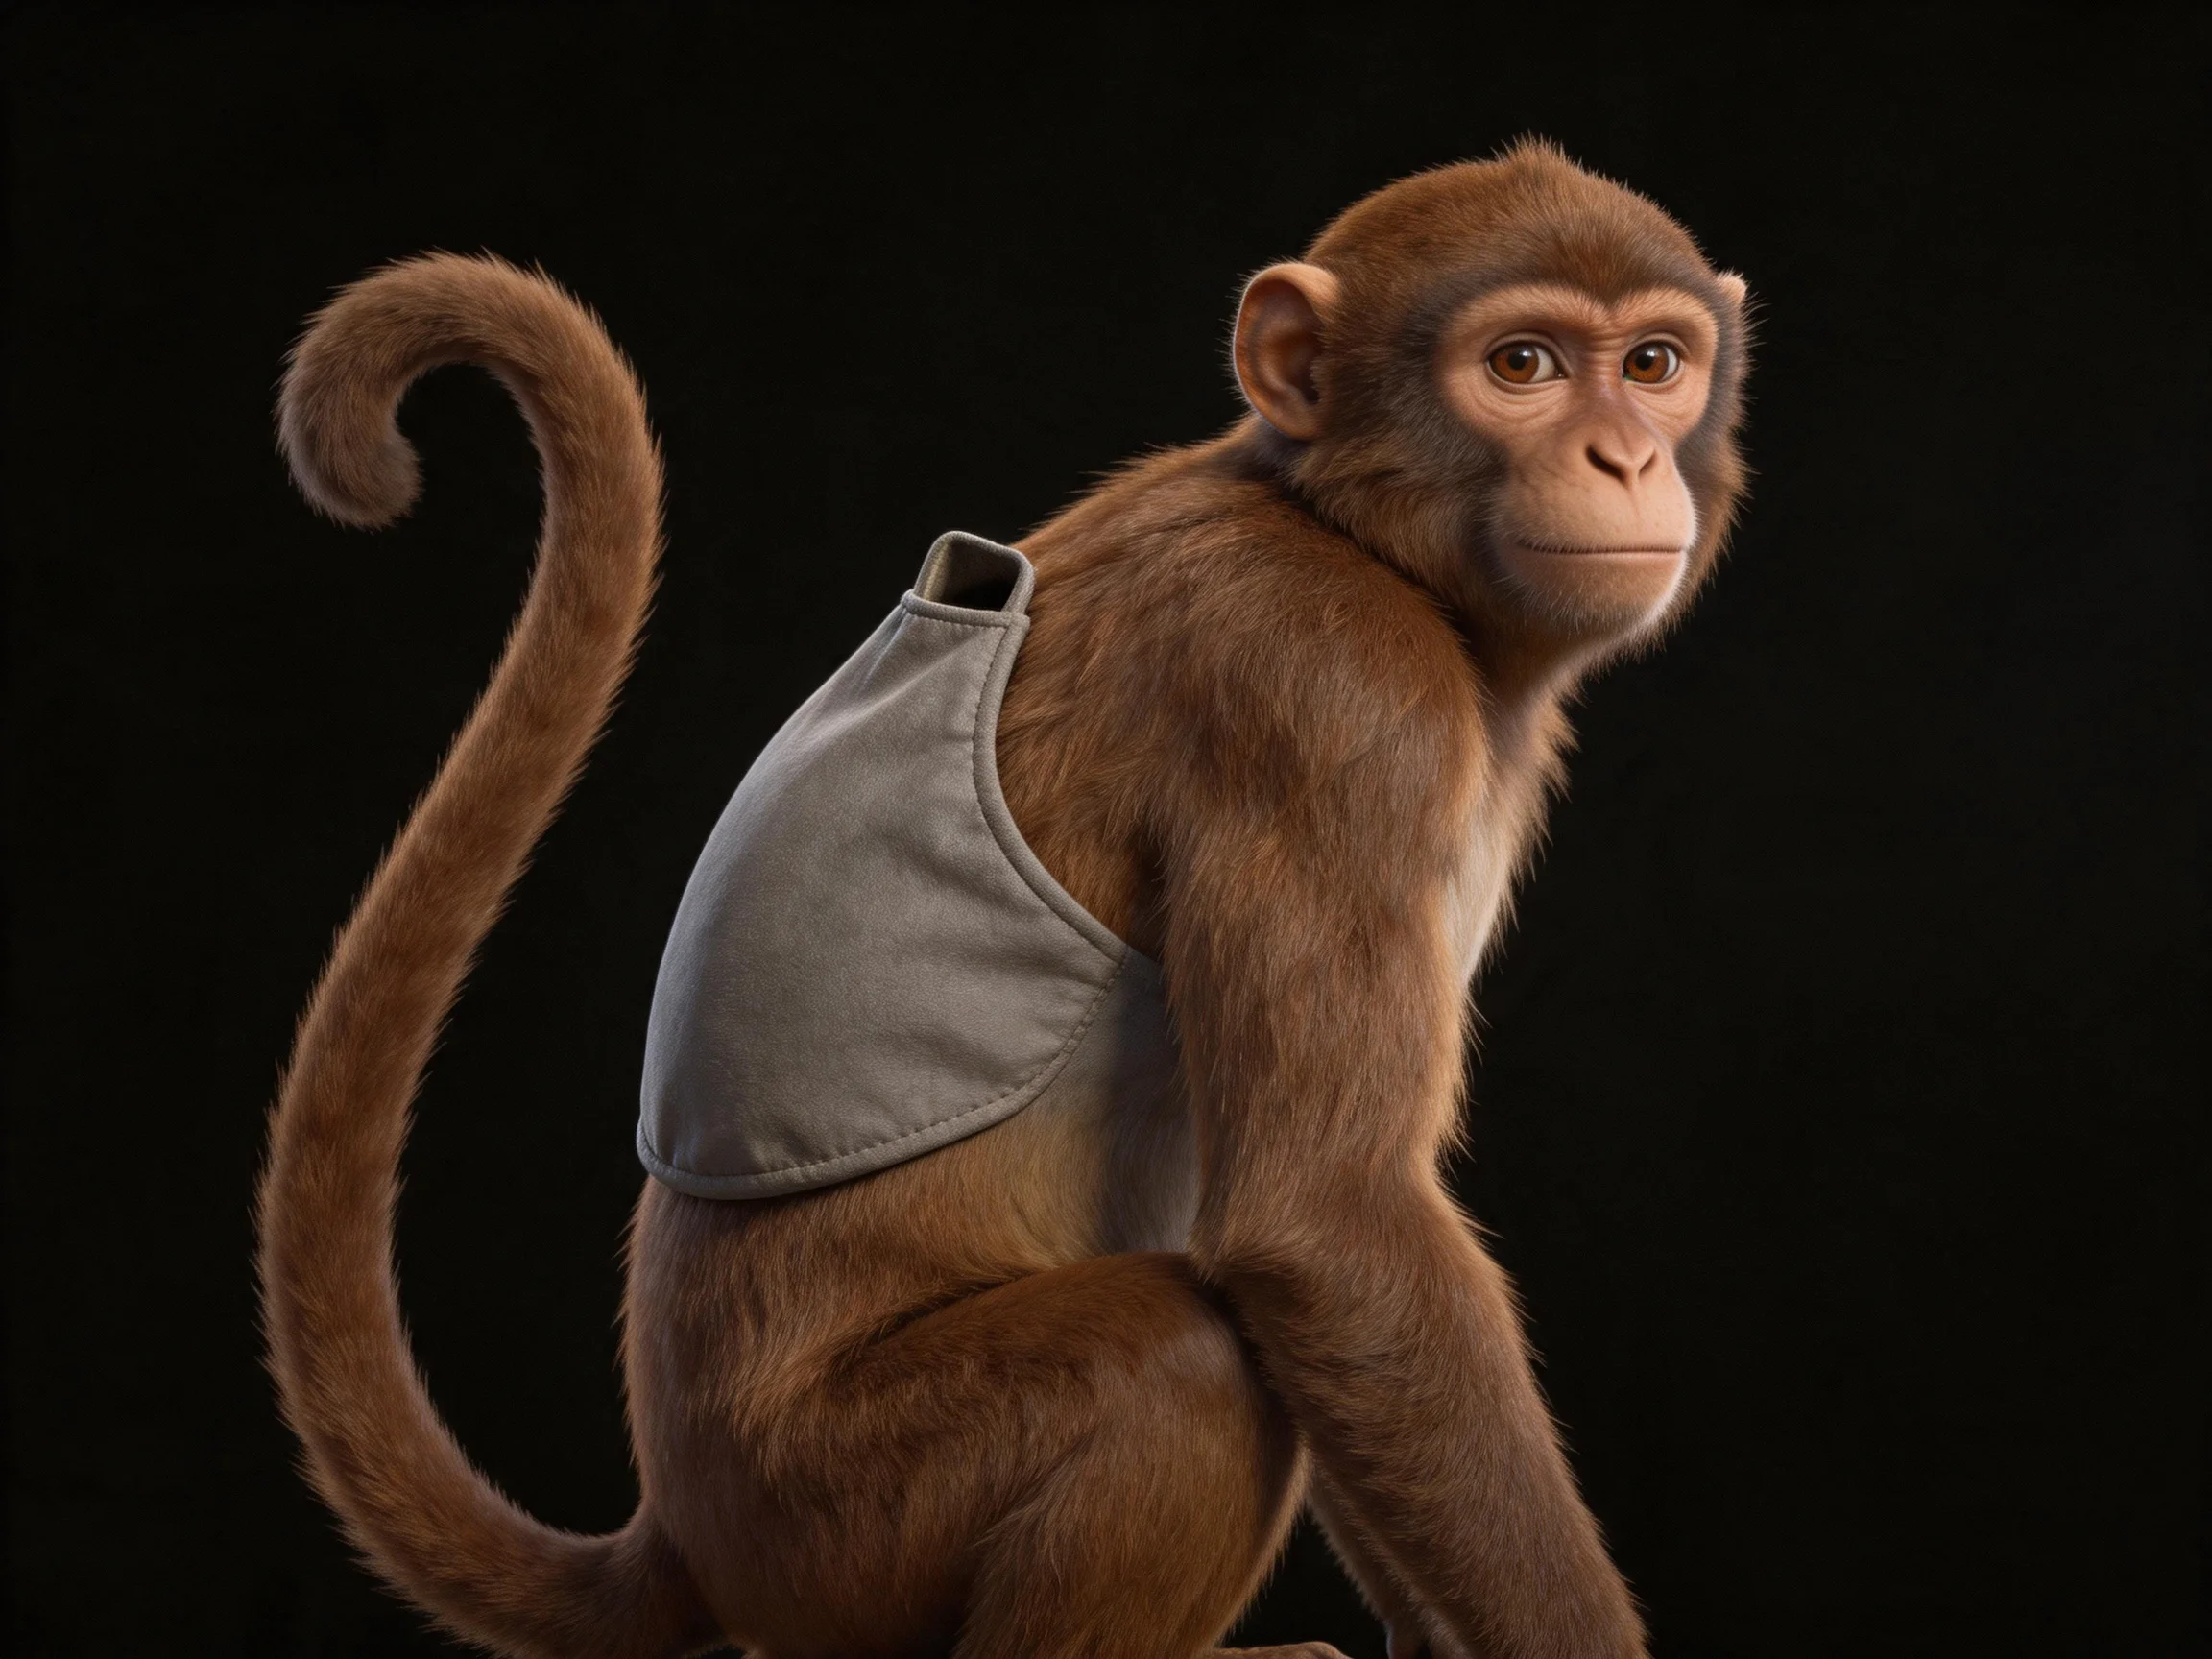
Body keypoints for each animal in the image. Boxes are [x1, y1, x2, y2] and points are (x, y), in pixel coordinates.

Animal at [258, 139, 1749, 1659]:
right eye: (1521, 364)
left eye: (1653, 363)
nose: (1625, 456)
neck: (1326, 523)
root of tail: (693, 1532)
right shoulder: (1323, 680)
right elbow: (1327, 1231)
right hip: (844, 1523)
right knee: (1180, 1360)